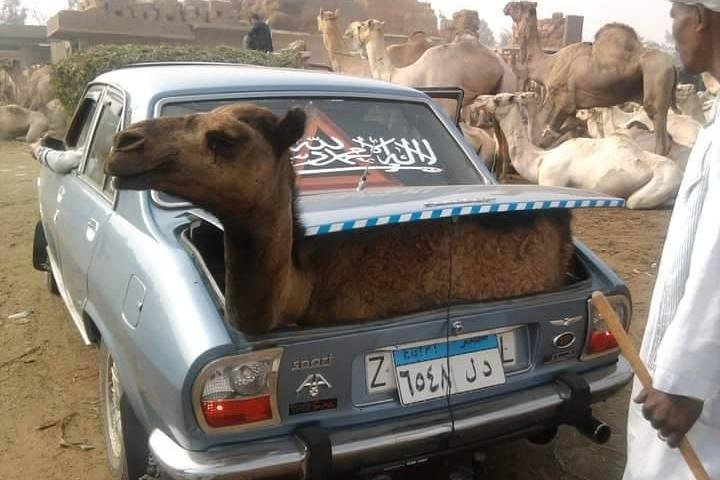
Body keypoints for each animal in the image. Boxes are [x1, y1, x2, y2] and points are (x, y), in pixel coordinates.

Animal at [469, 94, 683, 210]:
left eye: (498, 99)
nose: (478, 99)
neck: (540, 160)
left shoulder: (552, 181)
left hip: (662, 181)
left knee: (635, 201)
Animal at [504, 2, 676, 156]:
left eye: (518, 5)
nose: (505, 7)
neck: (548, 65)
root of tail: (672, 65)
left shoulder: (564, 102)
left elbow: (547, 135)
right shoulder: (573, 108)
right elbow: (571, 129)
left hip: (656, 81)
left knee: (659, 132)